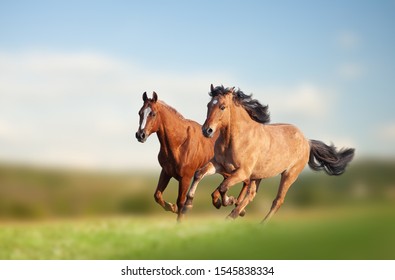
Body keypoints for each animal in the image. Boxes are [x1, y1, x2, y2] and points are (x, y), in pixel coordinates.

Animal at [135, 92, 220, 221]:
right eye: (140, 112)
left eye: (153, 113)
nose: (140, 135)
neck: (180, 143)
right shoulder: (166, 172)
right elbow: (157, 195)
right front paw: (173, 207)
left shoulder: (186, 177)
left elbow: (181, 201)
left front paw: (180, 218)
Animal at [188, 85, 356, 223]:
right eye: (209, 105)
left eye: (222, 106)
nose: (207, 130)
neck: (236, 139)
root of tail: (307, 142)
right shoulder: (218, 164)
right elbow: (199, 174)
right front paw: (194, 202)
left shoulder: (242, 172)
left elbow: (223, 187)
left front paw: (227, 200)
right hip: (259, 175)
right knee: (251, 194)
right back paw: (234, 214)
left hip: (289, 175)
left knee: (277, 201)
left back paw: (257, 224)